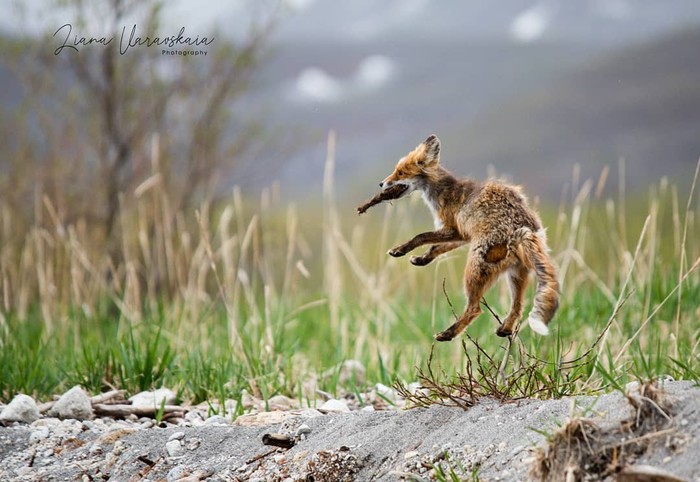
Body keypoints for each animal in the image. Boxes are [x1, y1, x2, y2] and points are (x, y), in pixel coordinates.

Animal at [380, 134, 560, 340]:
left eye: (400, 173)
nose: (381, 184)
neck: (443, 191)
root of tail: (524, 229)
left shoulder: (453, 229)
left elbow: (421, 236)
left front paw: (400, 250)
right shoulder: (462, 234)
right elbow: (436, 247)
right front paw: (422, 259)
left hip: (473, 271)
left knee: (475, 309)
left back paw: (448, 333)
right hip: (516, 275)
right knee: (518, 307)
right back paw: (505, 329)